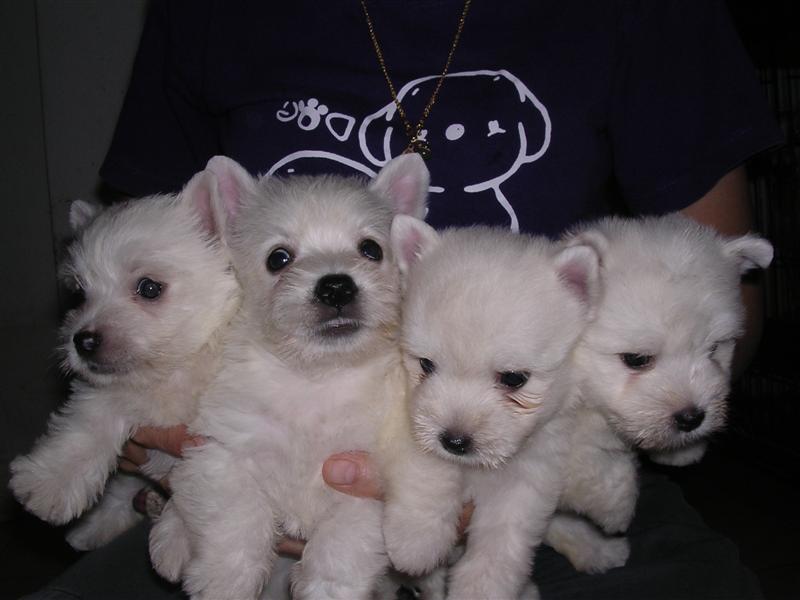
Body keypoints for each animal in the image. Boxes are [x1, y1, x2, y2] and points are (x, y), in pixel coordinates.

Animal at [9, 168, 241, 550]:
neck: (177, 367)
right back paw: (93, 528)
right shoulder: (107, 390)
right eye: (80, 293)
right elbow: (88, 424)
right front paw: (49, 483)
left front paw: (182, 537)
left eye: (149, 287)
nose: (83, 341)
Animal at [148, 154, 433, 600]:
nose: (336, 286)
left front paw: (326, 590)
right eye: (278, 258)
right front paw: (224, 583)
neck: (314, 377)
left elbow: (341, 548)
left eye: (371, 249)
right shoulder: (225, 453)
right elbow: (234, 526)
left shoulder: (361, 479)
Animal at [381, 217, 602, 600]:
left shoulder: (529, 475)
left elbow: (502, 543)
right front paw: (416, 538)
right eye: (426, 364)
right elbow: (427, 470)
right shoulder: (413, 414)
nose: (455, 441)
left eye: (513, 379)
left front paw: (481, 588)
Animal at [543, 213, 774, 574]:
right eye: (637, 359)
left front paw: (682, 450)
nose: (691, 418)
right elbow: (585, 458)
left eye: (713, 350)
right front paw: (615, 506)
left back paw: (597, 551)